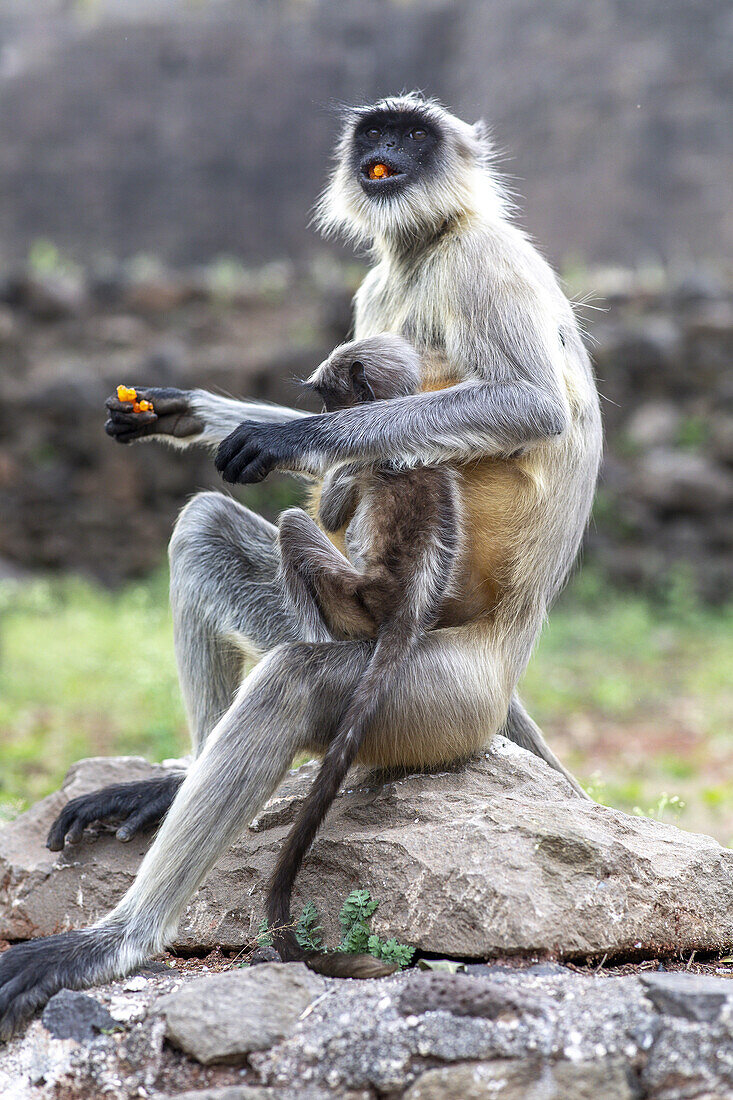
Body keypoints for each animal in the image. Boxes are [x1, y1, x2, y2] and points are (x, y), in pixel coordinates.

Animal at [265, 330, 460, 976]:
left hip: (352, 600)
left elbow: (328, 509)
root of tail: (403, 608)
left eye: (332, 399)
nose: (326, 419)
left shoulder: (364, 461)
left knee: (295, 525)